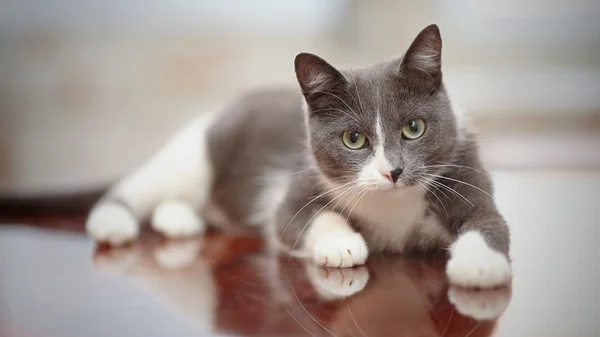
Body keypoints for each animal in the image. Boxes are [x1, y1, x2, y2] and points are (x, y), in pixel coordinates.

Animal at [85, 23, 510, 286]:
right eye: (353, 139)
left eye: (414, 128)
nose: (393, 171)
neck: (393, 203)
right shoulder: (296, 185)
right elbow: (302, 216)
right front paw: (342, 245)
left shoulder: (465, 173)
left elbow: (489, 221)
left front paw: (480, 264)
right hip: (196, 154)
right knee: (141, 186)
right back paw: (113, 221)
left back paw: (179, 220)